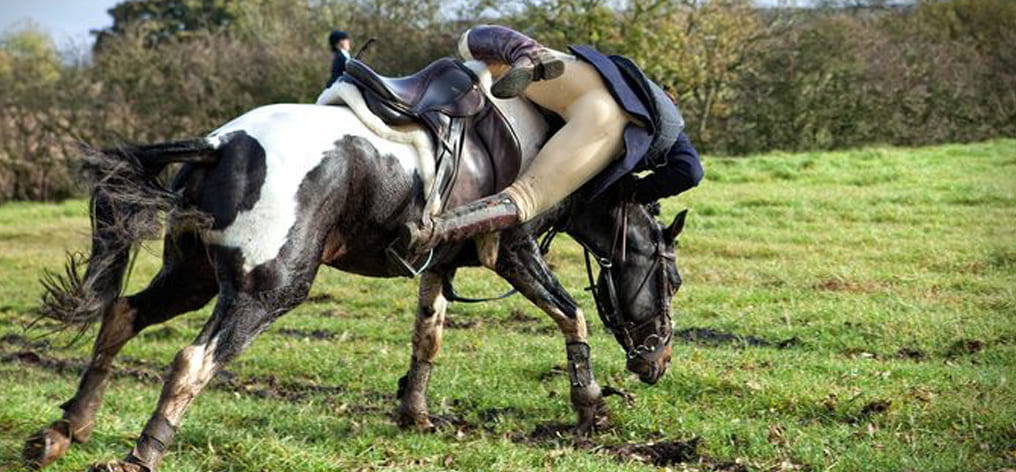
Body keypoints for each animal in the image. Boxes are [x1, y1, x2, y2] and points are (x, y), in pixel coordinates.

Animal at [22, 60, 687, 472]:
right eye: (673, 280)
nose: (656, 363)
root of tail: (221, 144)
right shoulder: (516, 253)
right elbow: (572, 314)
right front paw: (589, 403)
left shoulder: (437, 266)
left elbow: (427, 337)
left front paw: (415, 414)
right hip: (268, 289)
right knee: (192, 359)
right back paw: (141, 454)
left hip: (193, 276)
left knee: (119, 316)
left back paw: (66, 430)